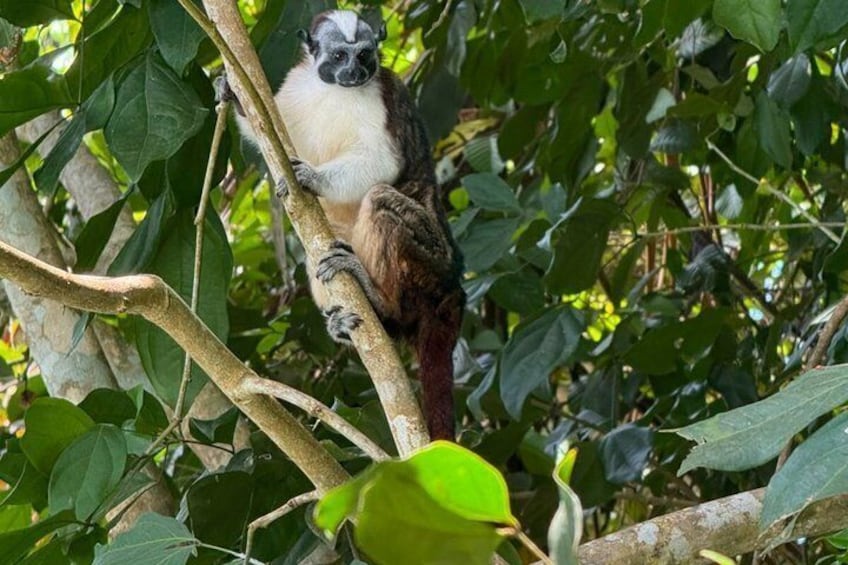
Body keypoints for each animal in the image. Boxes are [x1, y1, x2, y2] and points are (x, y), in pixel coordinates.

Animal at [234, 10, 465, 440]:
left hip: (434, 263)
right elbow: (270, 130)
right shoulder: (296, 86)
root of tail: (454, 287)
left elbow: (382, 161)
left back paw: (378, 297)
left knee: (380, 201)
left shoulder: (380, 99)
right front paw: (234, 97)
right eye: (339, 56)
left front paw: (310, 177)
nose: (354, 73)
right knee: (318, 253)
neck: (335, 92)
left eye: (364, 56)